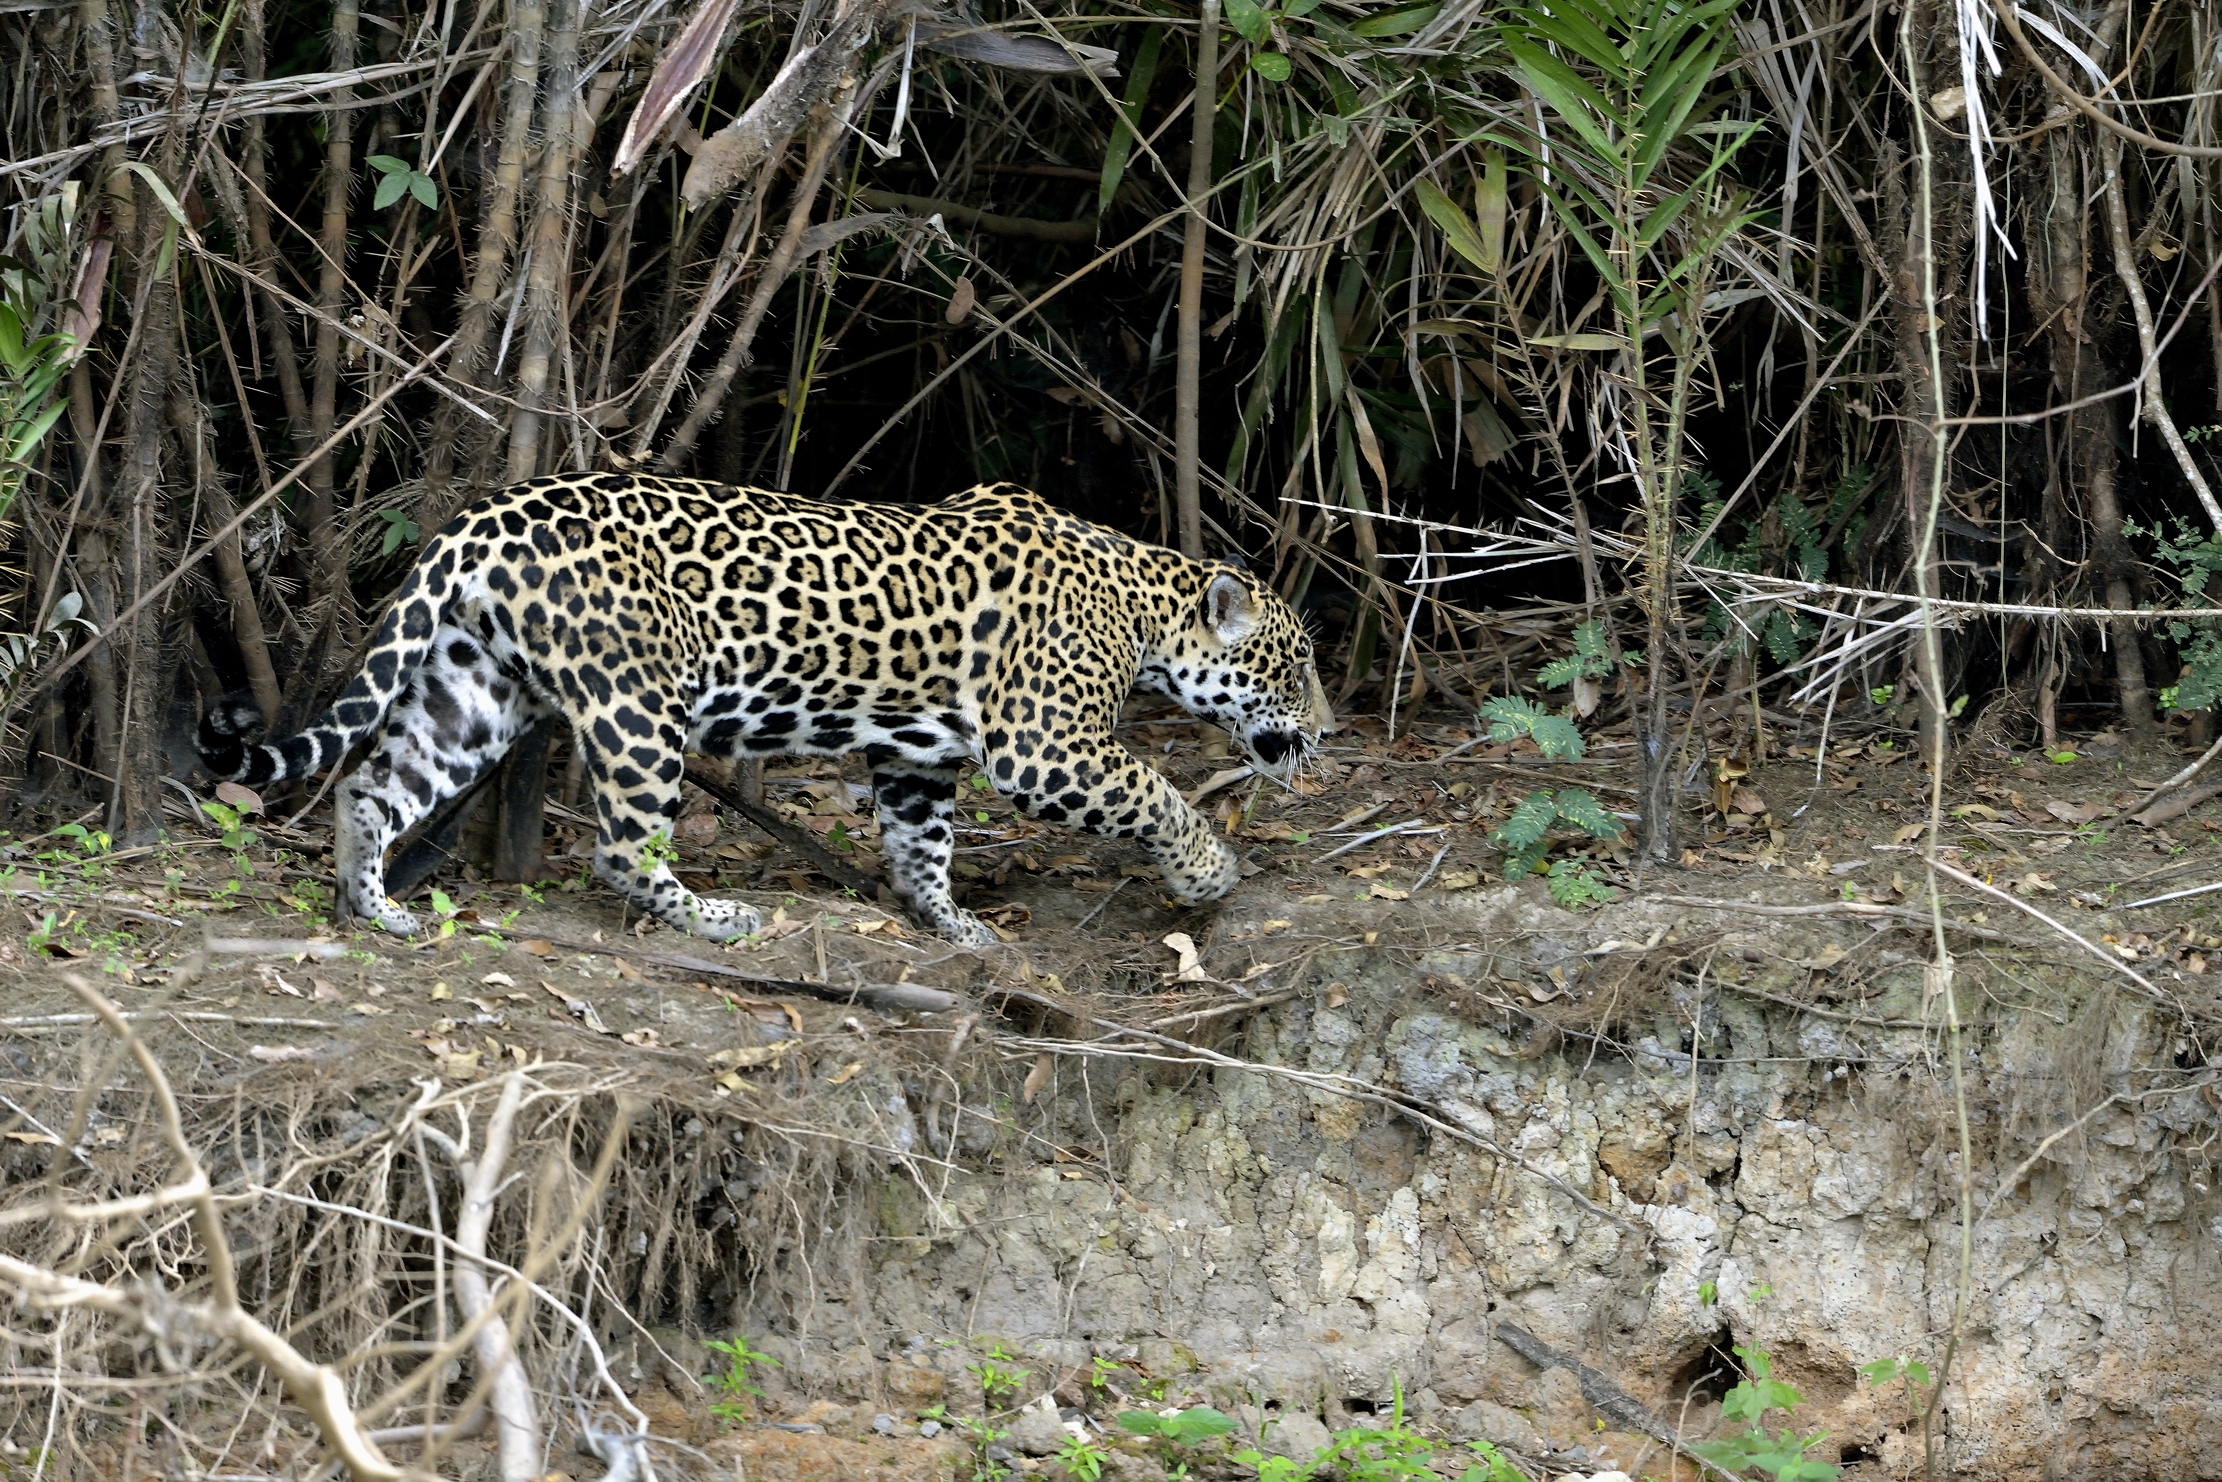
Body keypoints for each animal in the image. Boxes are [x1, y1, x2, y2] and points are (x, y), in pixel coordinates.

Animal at [197, 476, 1333, 946]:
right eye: (1298, 662)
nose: (1327, 732)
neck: (1143, 600)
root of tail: (483, 515)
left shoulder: (918, 758)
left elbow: (919, 842)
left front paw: (952, 924)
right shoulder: (1046, 747)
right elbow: (1155, 788)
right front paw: (1205, 874)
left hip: (475, 689)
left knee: (371, 783)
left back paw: (374, 906)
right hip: (637, 702)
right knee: (621, 846)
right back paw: (715, 919)